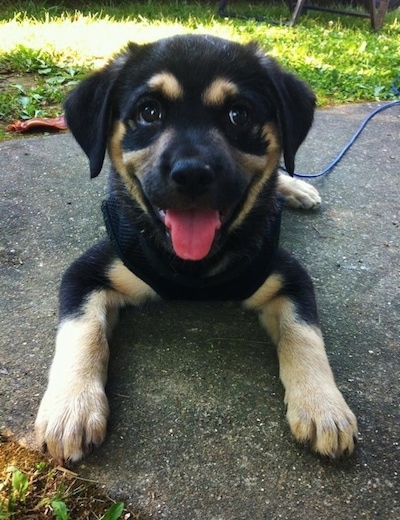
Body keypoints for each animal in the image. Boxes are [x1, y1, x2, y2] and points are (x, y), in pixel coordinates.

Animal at [35, 33, 356, 464]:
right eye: (149, 112)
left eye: (238, 115)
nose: (191, 174)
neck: (193, 269)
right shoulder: (87, 271)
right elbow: (81, 330)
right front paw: (70, 409)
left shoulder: (288, 275)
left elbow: (305, 334)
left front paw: (324, 408)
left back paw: (296, 188)